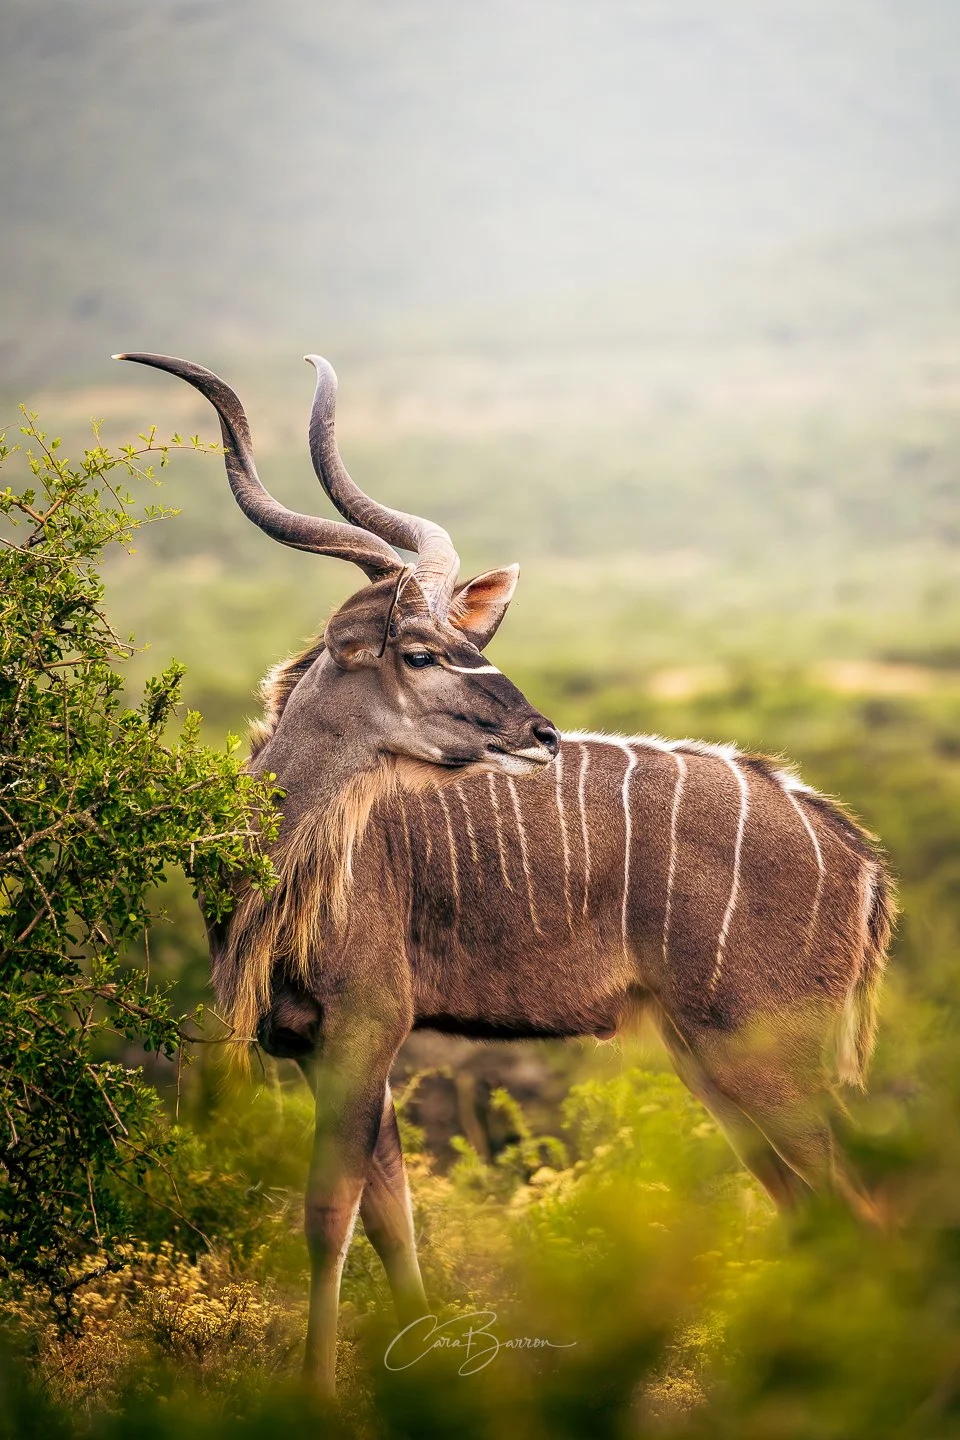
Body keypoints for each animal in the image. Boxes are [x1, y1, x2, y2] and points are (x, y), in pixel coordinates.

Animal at [117, 351, 894, 1396]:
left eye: (469, 645)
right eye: (420, 651)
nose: (539, 732)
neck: (275, 869)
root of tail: (856, 857)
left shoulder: (366, 1028)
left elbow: (329, 1218)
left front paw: (317, 1394)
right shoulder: (328, 1047)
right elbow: (392, 1217)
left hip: (764, 1057)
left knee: (856, 1213)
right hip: (710, 1061)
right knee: (809, 1211)